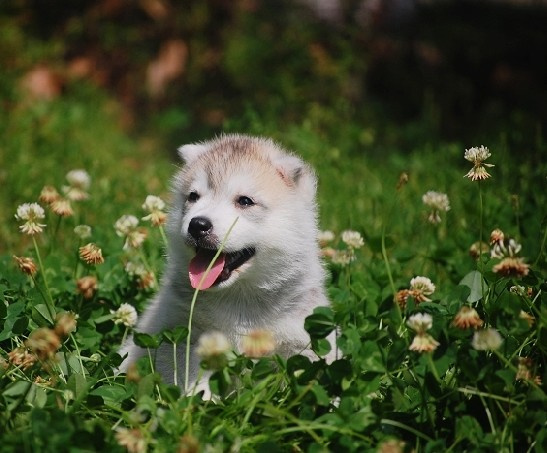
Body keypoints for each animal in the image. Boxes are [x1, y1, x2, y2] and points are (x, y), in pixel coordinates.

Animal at [120, 132, 334, 390]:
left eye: (245, 201)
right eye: (193, 196)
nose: (197, 225)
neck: (240, 297)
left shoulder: (299, 338)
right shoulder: (185, 336)